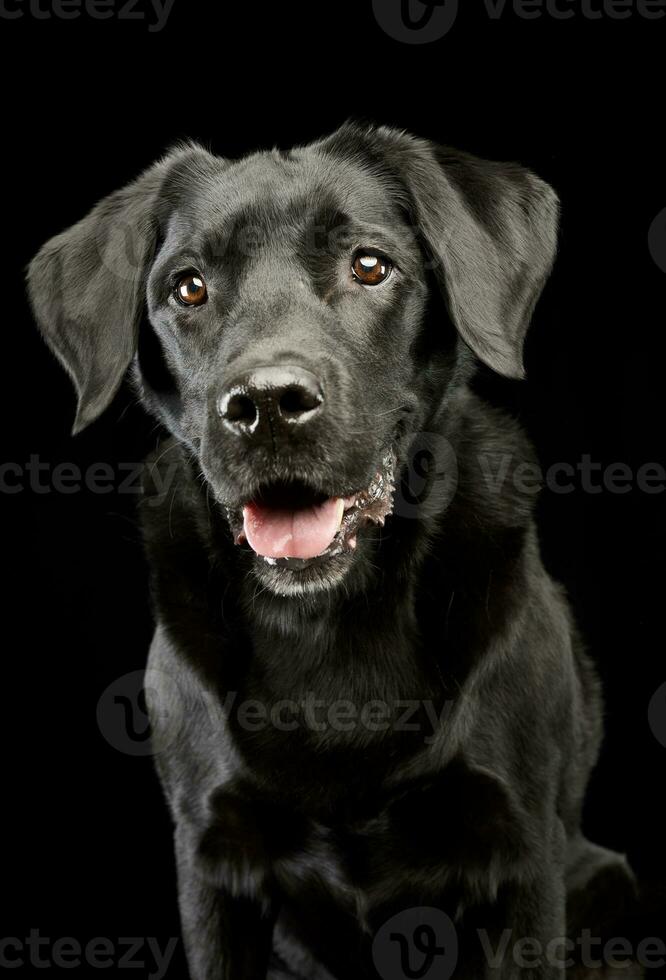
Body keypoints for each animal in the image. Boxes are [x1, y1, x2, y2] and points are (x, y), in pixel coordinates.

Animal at [28, 124, 636, 980]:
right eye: (188, 288)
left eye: (370, 266)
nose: (268, 406)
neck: (329, 624)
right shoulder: (212, 864)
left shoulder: (522, 856)